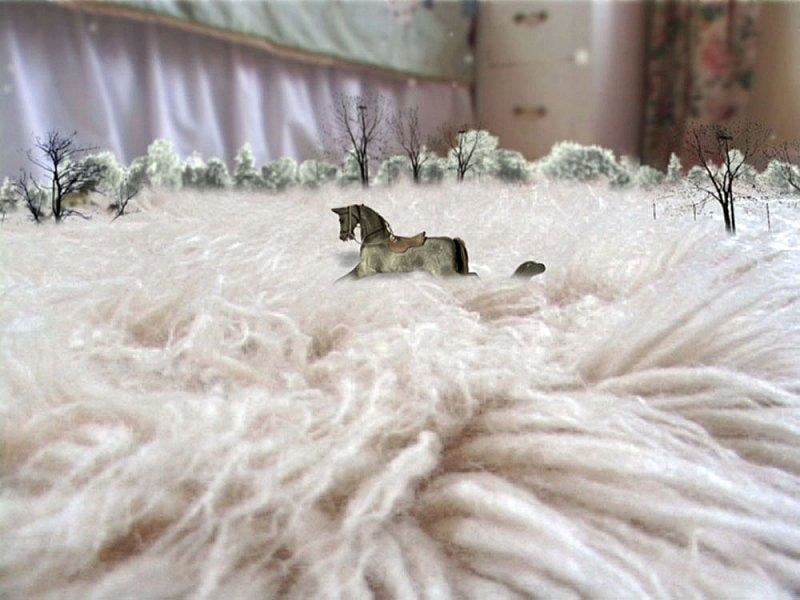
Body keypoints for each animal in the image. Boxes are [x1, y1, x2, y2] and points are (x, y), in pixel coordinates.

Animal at [331, 204, 546, 281]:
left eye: (341, 219)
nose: (342, 236)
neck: (375, 240)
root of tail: (452, 240)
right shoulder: (362, 270)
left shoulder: (366, 270)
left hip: (446, 274)